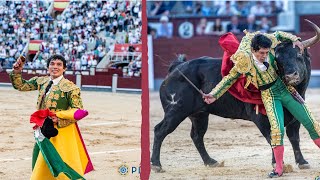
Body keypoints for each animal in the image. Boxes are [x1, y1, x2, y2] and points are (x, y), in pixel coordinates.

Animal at [151, 42, 316, 172]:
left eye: (299, 55)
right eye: (278, 60)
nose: (291, 76)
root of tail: (176, 68)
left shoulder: (295, 118)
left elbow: (294, 138)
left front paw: (302, 162)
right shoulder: (260, 118)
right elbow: (272, 138)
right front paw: (277, 164)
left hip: (200, 115)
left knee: (197, 136)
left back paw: (211, 162)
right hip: (176, 111)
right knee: (160, 130)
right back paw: (156, 165)